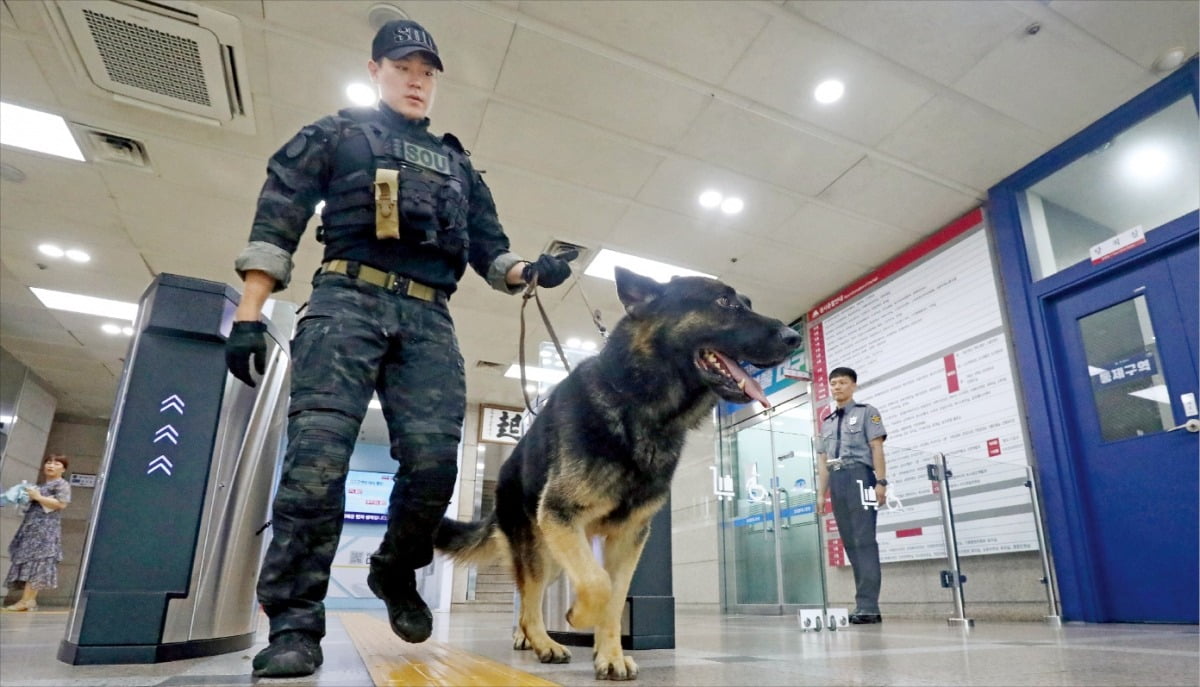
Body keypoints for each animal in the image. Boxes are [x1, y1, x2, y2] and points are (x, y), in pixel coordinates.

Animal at [436, 266, 801, 677]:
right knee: (530, 602)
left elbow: (615, 594)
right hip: (541, 548)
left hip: (556, 555)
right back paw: (543, 642)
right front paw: (578, 617)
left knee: (532, 598)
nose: (794, 338)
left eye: (747, 303)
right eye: (724, 302)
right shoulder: (561, 514)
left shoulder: (629, 537)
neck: (639, 405)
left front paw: (609, 654)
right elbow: (599, 585)